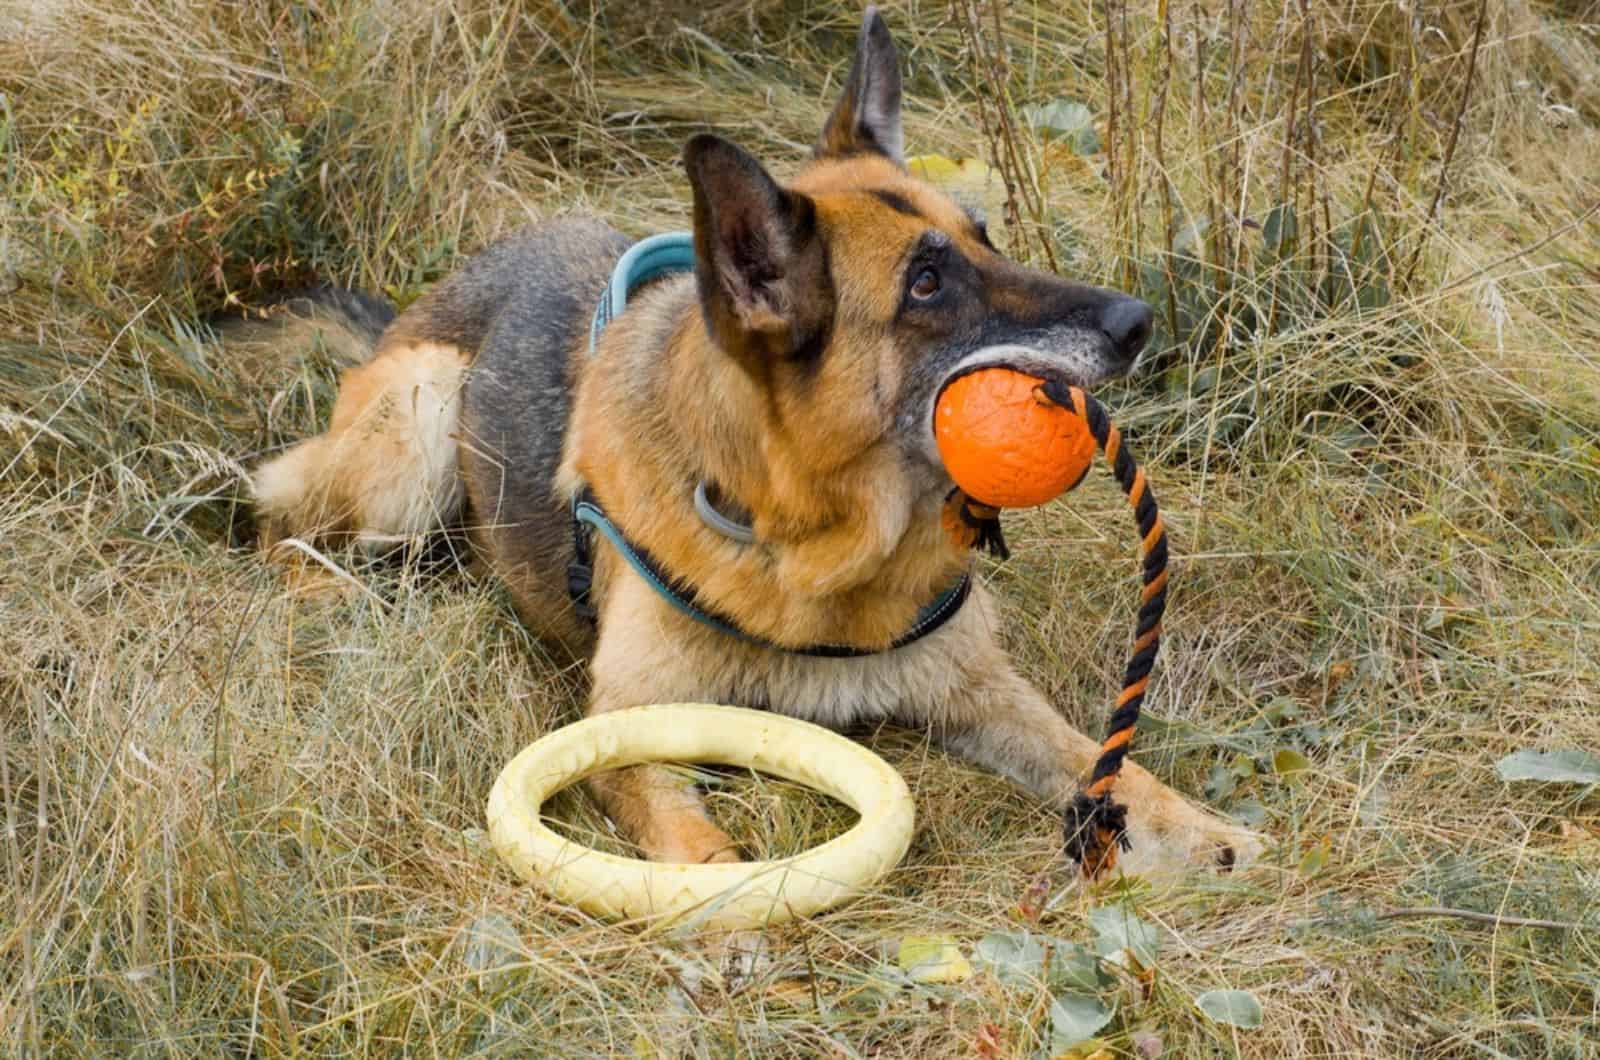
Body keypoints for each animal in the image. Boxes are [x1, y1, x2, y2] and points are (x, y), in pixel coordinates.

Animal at [256, 8, 1254, 877]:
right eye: (927, 284)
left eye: (985, 237)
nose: (1138, 321)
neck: (810, 536)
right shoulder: (623, 726)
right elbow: (694, 844)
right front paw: (727, 910)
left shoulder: (983, 691)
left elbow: (1101, 756)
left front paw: (1203, 831)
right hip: (423, 412)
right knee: (286, 530)